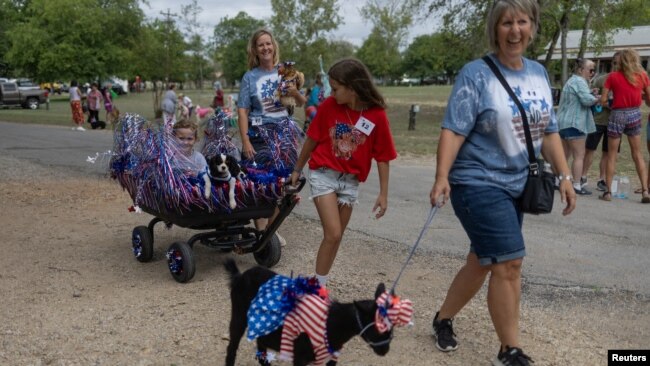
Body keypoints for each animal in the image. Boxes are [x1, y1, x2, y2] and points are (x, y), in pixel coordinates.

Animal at [224, 260, 394, 366]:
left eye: (392, 327)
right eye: (377, 328)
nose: (385, 351)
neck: (330, 322)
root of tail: (241, 276)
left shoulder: (331, 358)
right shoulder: (300, 358)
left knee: (261, 345)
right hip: (239, 315)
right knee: (232, 347)